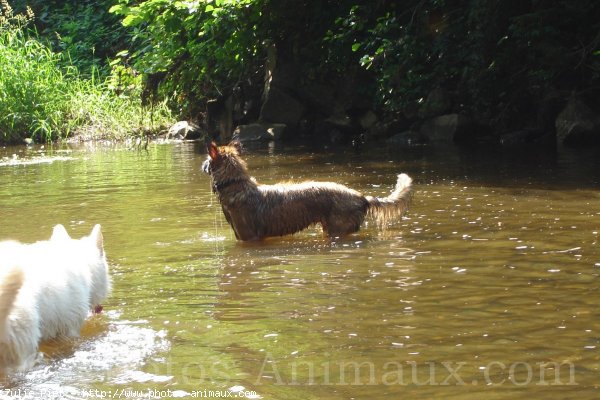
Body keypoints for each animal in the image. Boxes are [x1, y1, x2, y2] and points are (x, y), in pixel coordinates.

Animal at [202, 141, 412, 241]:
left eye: (206, 159)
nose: (202, 165)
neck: (235, 185)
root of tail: (361, 197)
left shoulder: (250, 238)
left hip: (337, 229)